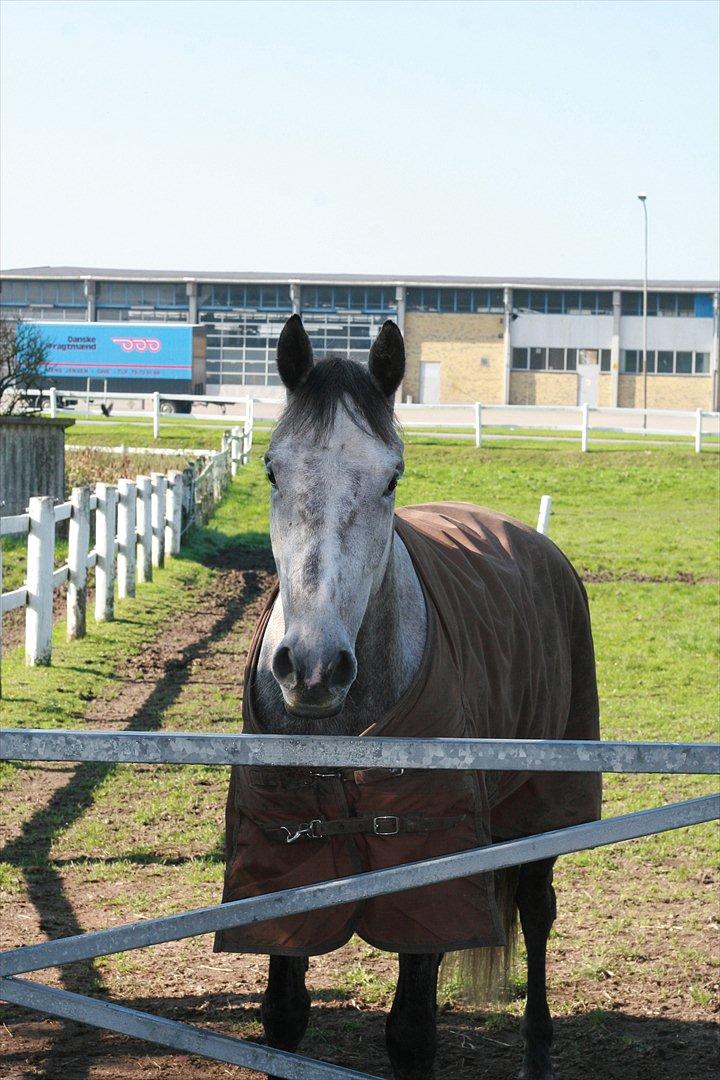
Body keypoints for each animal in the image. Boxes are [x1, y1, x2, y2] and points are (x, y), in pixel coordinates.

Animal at [215, 315, 604, 1080]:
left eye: (391, 476)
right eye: (272, 469)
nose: (312, 669)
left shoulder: (429, 868)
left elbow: (412, 1033)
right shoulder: (282, 865)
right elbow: (282, 1016)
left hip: (546, 805)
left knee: (537, 913)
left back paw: (537, 1052)